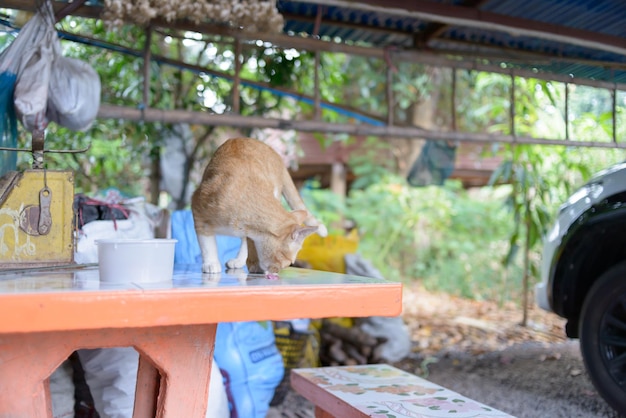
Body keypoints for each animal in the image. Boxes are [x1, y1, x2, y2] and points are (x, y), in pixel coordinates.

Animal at [189, 137, 326, 278]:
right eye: (286, 259)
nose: (277, 271)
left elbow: (250, 244)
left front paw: (254, 264)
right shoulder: (198, 208)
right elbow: (207, 243)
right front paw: (211, 263)